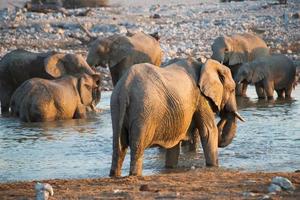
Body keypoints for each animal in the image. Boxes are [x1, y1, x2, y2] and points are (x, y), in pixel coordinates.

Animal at [109, 57, 245, 177]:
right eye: (232, 89)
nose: (224, 113)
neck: (205, 64)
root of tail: (125, 88)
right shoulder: (200, 98)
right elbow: (209, 131)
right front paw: (213, 168)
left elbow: (174, 141)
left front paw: (170, 169)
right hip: (143, 110)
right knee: (137, 147)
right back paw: (135, 175)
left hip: (116, 106)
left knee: (118, 147)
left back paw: (114, 175)